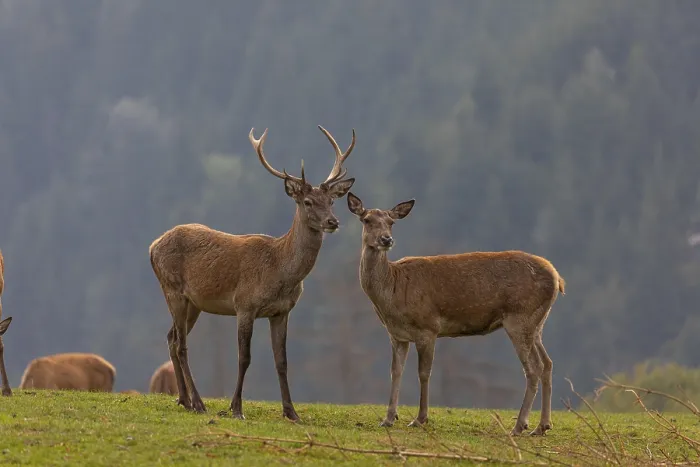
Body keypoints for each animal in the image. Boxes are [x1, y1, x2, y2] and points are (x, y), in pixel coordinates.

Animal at [149, 125, 356, 420]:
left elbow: (282, 361)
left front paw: (291, 412)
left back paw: (184, 399)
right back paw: (198, 402)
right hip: (172, 289)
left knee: (171, 338)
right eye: (307, 201)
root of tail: (152, 246)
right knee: (181, 344)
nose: (332, 222)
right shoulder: (245, 305)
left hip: (194, 303)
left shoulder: (282, 311)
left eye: (331, 201)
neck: (280, 272)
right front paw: (236, 408)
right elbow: (244, 357)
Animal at [346, 193, 565, 436]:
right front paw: (388, 419)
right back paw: (542, 426)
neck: (392, 290)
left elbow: (424, 373)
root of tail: (557, 278)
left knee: (534, 368)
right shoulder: (397, 335)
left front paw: (420, 418)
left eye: (391, 222)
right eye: (366, 220)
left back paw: (519, 426)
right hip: (537, 323)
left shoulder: (428, 327)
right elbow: (396, 372)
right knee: (548, 364)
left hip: (520, 318)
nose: (386, 240)